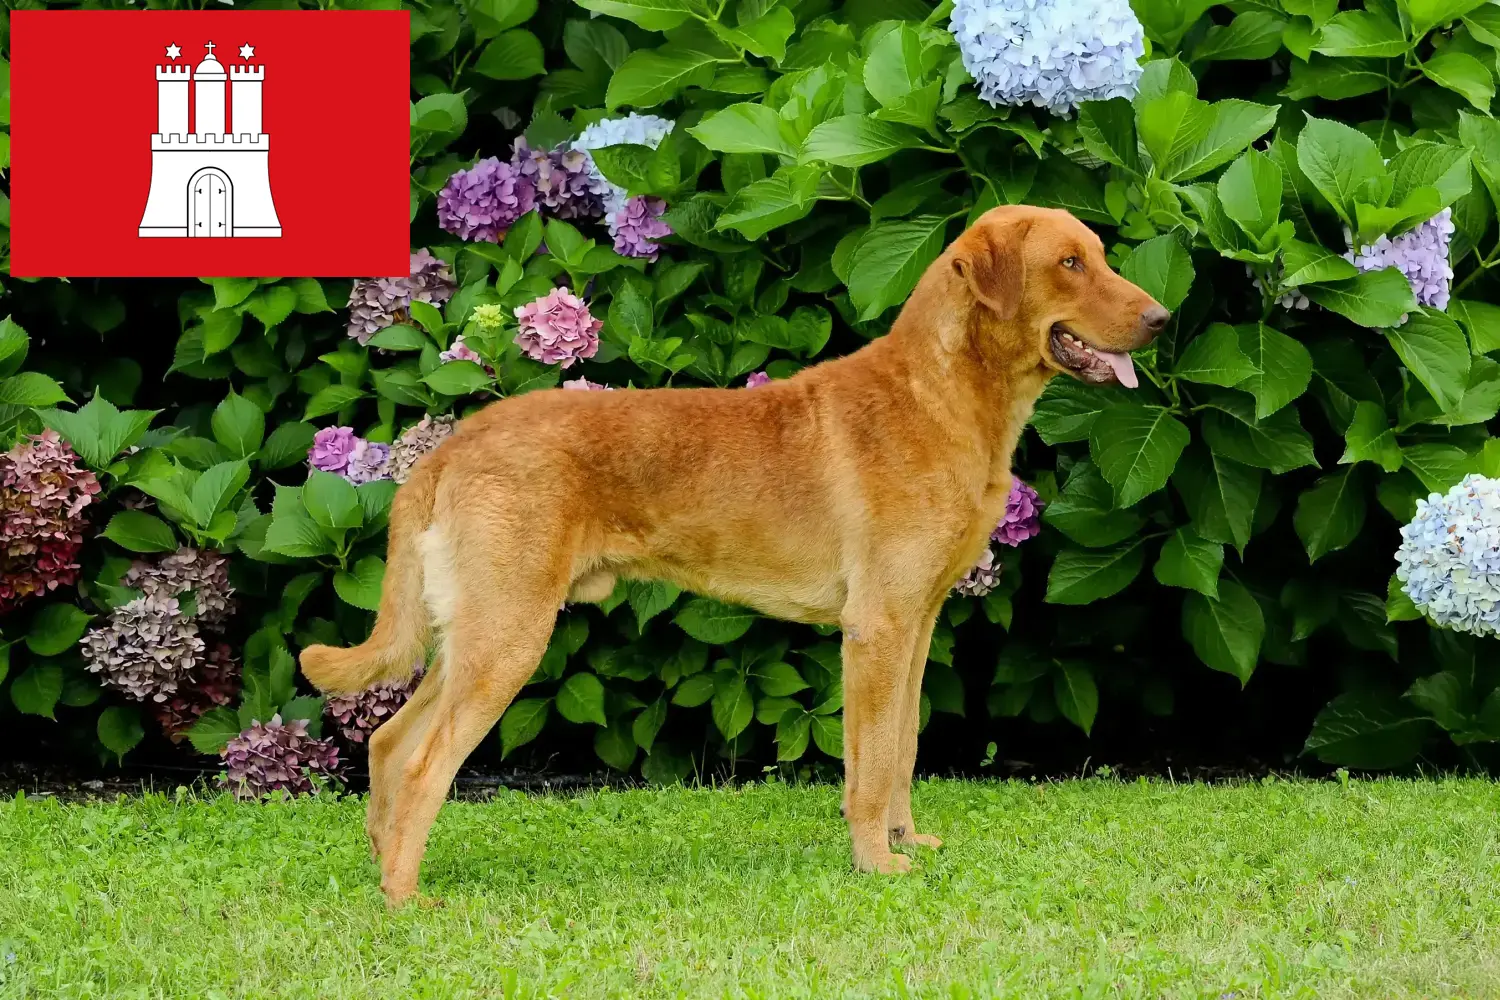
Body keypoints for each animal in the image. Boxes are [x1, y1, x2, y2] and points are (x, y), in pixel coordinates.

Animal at [298, 205, 1164, 905]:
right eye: (1070, 262)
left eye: (1098, 254)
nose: (1160, 318)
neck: (941, 396)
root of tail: (449, 449)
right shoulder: (877, 629)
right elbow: (871, 764)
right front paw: (877, 863)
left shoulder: (916, 625)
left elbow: (904, 747)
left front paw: (907, 841)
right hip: (508, 636)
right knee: (424, 764)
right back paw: (405, 898)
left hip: (472, 633)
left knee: (388, 741)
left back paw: (383, 866)